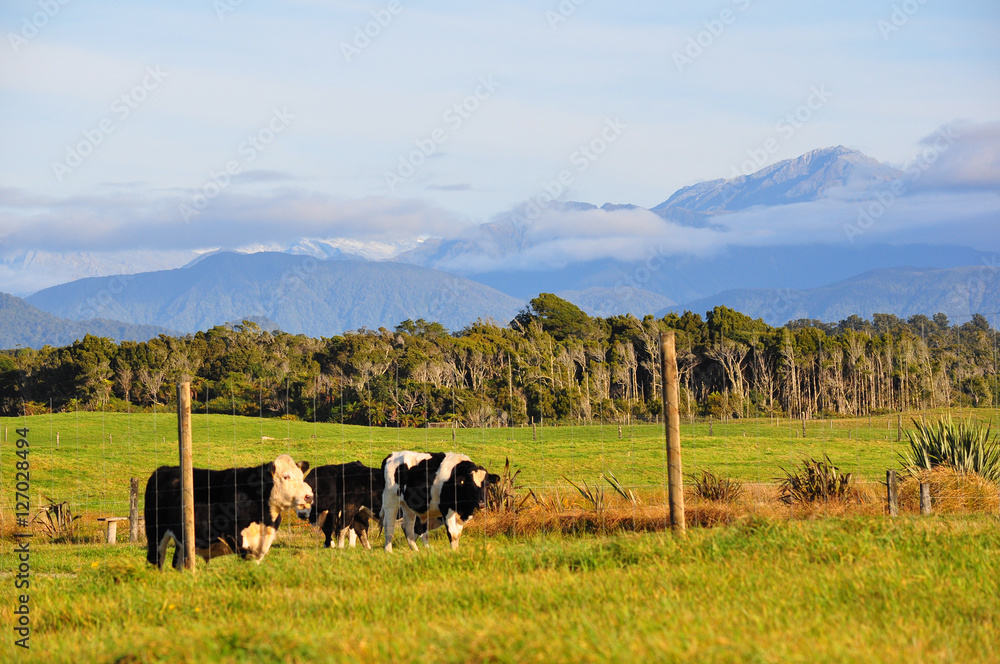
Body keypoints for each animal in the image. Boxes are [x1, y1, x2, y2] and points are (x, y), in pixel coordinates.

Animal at [145, 454, 312, 568]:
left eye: (301, 476)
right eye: (286, 476)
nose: (309, 496)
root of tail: (164, 469)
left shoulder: (261, 546)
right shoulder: (238, 540)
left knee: (178, 564)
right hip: (155, 532)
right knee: (155, 560)